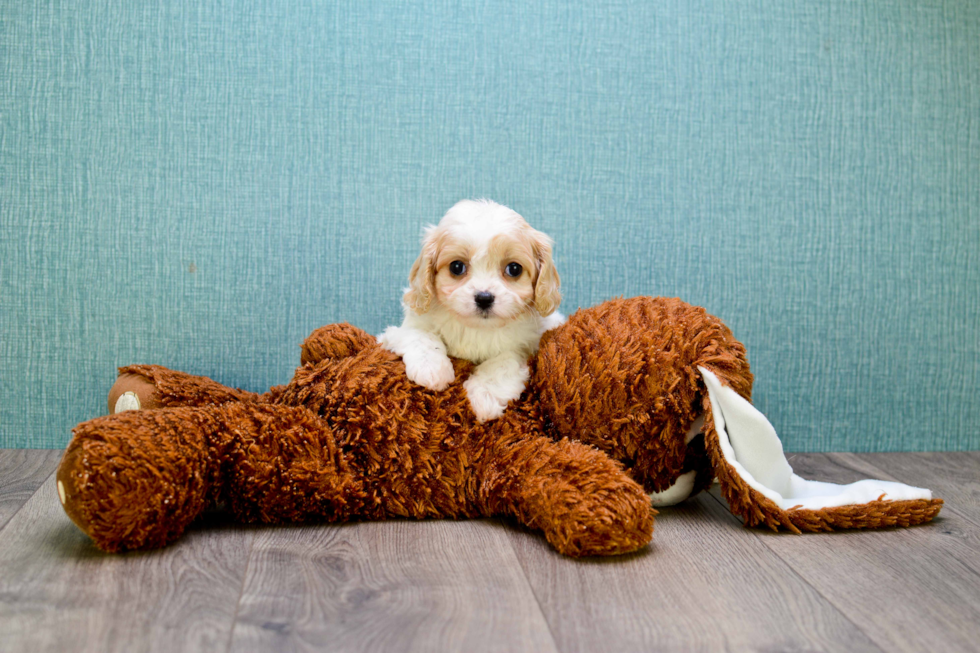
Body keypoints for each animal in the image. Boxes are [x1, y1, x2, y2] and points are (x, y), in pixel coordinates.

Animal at [382, 200, 568, 422]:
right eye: (456, 267)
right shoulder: (403, 328)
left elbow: (504, 360)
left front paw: (484, 396)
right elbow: (421, 336)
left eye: (514, 269)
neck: (476, 328)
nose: (484, 297)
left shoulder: (529, 344)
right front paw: (431, 368)